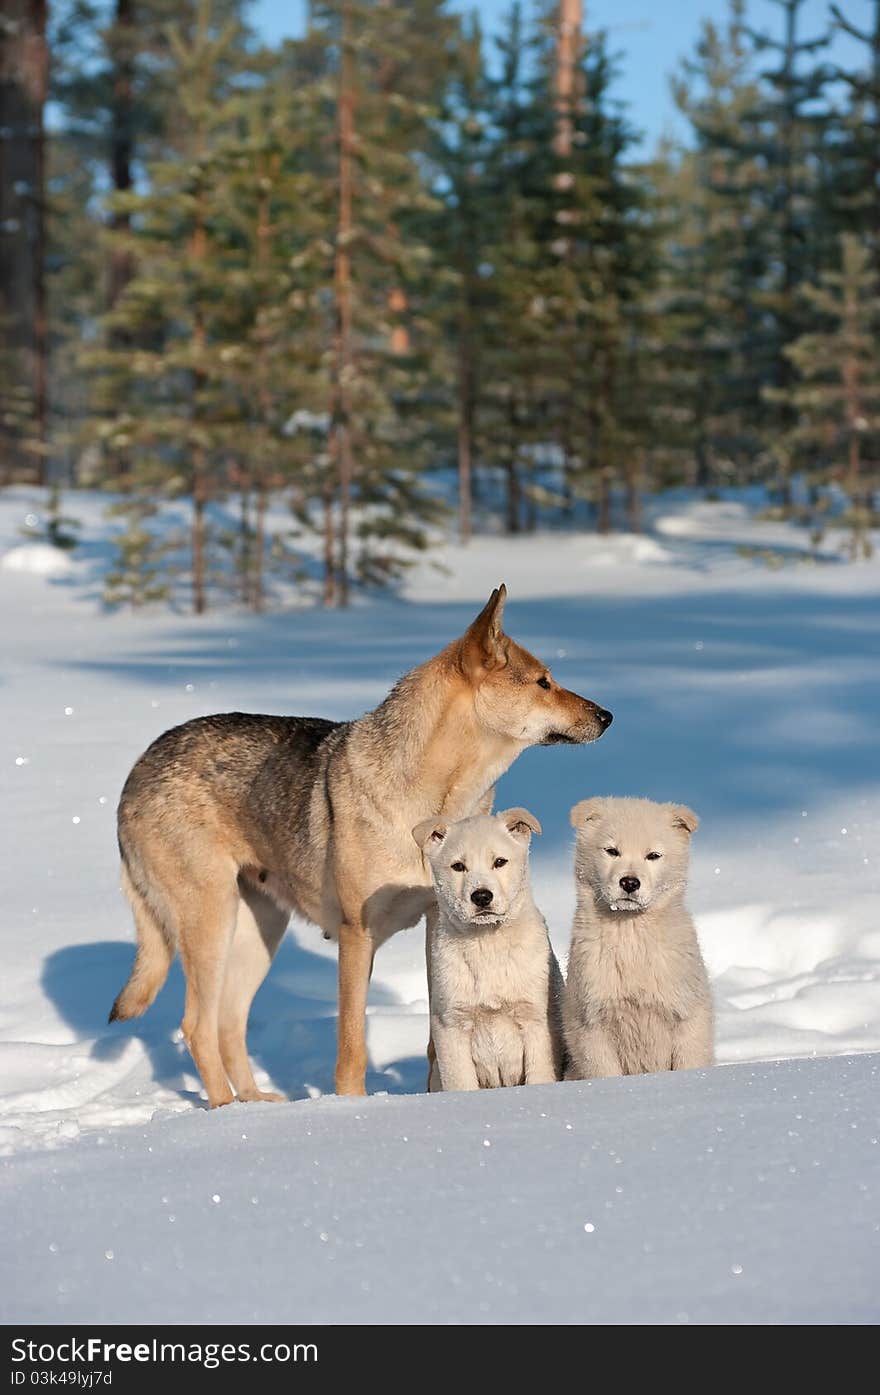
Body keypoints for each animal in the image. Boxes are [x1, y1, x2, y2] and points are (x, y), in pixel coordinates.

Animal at [412, 809, 563, 1088]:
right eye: (458, 866)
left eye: (500, 862)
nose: (481, 896)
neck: (487, 943)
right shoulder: (451, 1025)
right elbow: (461, 1083)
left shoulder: (537, 1020)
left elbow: (540, 1075)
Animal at [563, 797, 714, 1076]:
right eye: (611, 851)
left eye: (653, 855)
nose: (630, 883)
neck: (630, 935)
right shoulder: (590, 1023)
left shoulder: (687, 1014)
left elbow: (691, 1059)